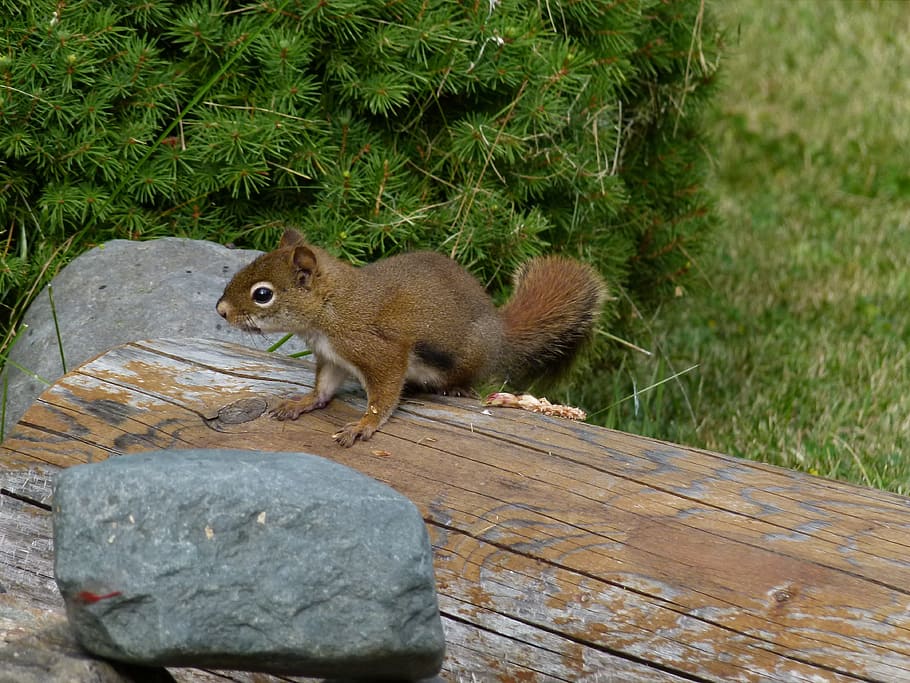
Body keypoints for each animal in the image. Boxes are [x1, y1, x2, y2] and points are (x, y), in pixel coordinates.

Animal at [216, 228, 605, 447]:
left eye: (262, 294)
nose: (220, 310)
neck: (331, 309)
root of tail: (500, 334)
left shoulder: (379, 350)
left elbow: (384, 394)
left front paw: (364, 425)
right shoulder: (333, 359)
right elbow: (324, 388)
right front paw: (302, 402)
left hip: (466, 358)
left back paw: (456, 389)